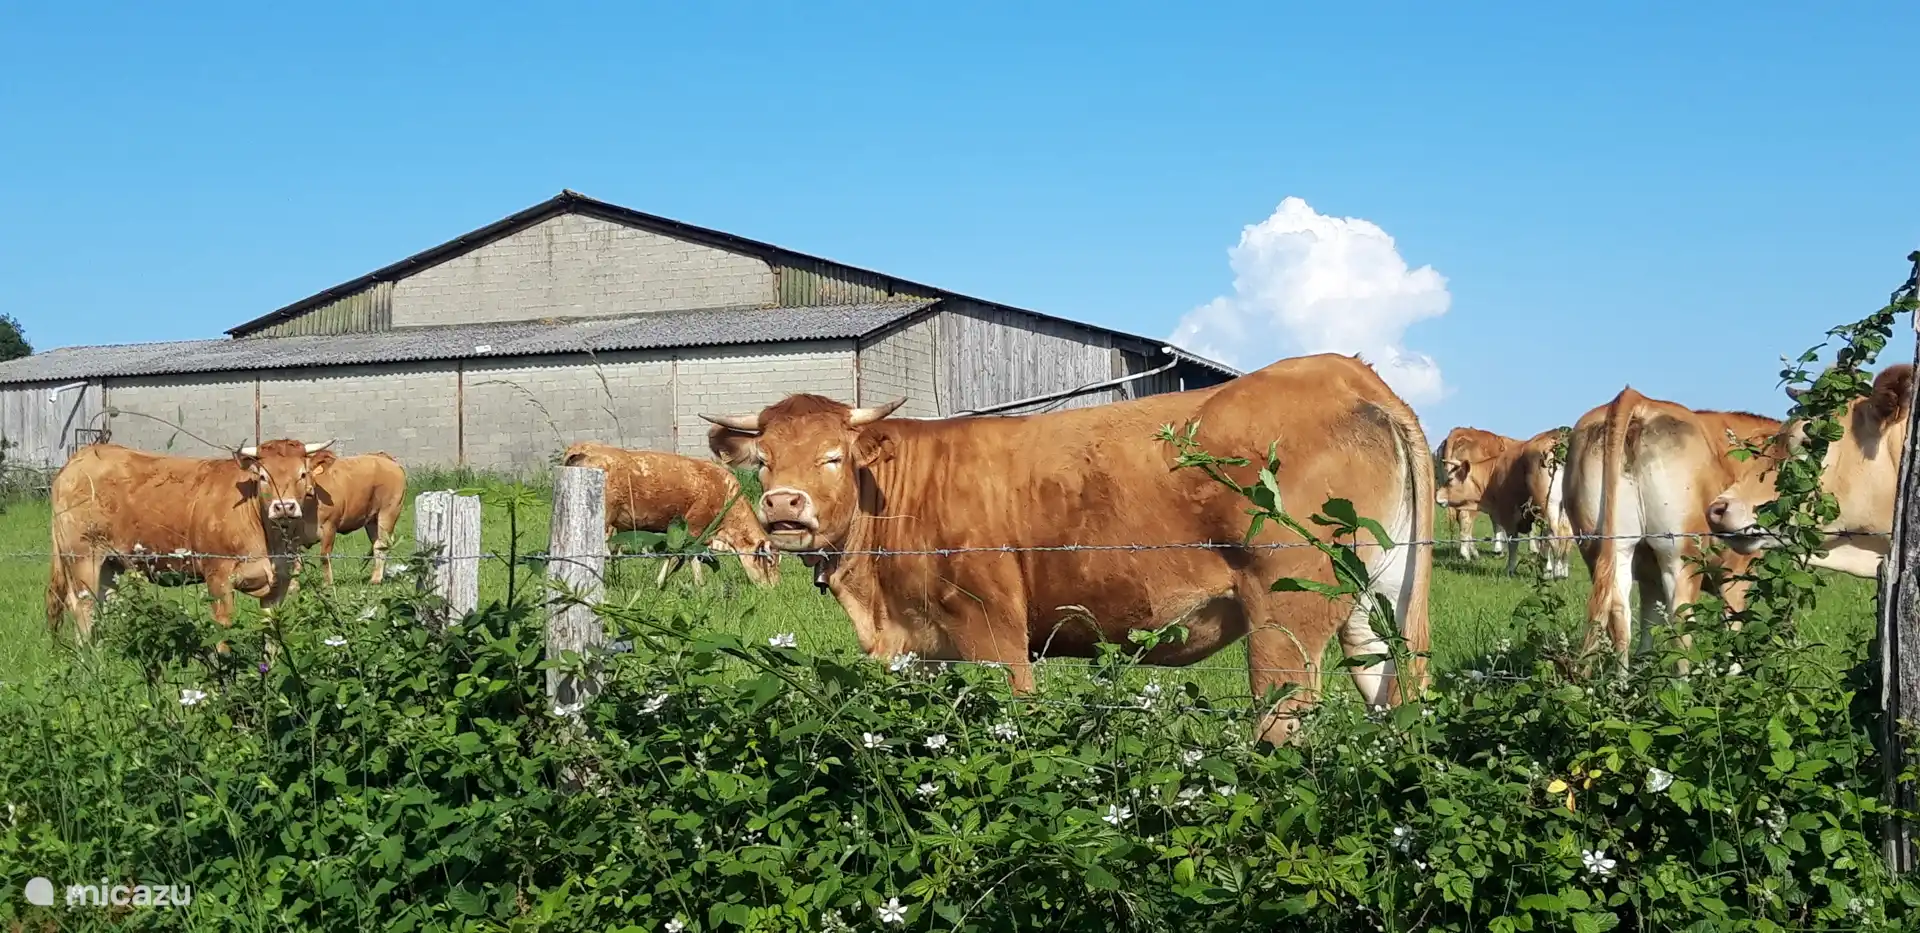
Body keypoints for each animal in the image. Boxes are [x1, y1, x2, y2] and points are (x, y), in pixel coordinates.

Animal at [46, 438, 336, 641]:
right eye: (263, 476)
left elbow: (272, 638)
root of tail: (79, 459)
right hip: (82, 558)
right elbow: (223, 633)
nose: (283, 507)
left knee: (102, 606)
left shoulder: (280, 583)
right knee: (83, 608)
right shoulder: (218, 577)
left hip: (110, 564)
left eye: (302, 474)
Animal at [560, 442, 779, 588]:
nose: (773, 587)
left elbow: (692, 558)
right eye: (770, 561)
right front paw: (661, 582)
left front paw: (699, 585)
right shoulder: (692, 527)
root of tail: (583, 447)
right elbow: (677, 554)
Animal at [700, 352, 1435, 745]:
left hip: (1286, 615)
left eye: (833, 455)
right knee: (1394, 693)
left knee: (1283, 719)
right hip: (1375, 600)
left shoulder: (992, 628)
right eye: (765, 459)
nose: (784, 504)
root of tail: (1345, 374)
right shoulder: (918, 647)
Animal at [1435, 426, 1573, 579]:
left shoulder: (1508, 511)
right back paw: (1560, 571)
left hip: (1549, 507)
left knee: (1554, 534)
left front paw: (1510, 567)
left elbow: (1514, 540)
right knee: (1564, 534)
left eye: (1451, 479)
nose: (1437, 495)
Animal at [1563, 388, 1782, 662]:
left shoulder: (1649, 577)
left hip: (1606, 549)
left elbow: (1647, 631)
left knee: (1619, 619)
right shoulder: (1736, 574)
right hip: (1680, 554)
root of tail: (1634, 398)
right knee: (1681, 622)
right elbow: (1733, 633)